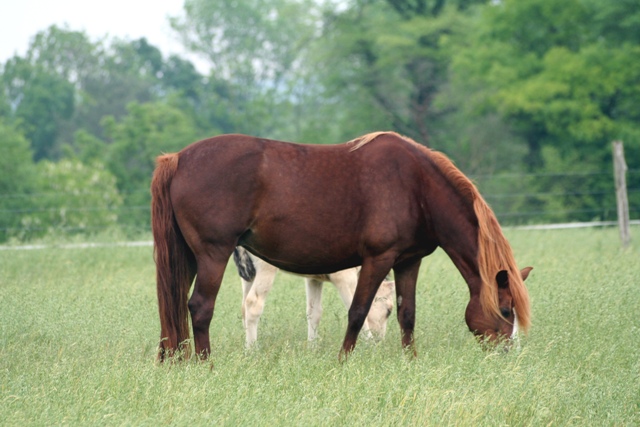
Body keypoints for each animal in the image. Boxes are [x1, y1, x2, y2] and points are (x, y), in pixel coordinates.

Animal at [235, 247, 396, 348]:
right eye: (389, 310)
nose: (380, 339)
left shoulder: (314, 279)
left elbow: (314, 312)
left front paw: (312, 347)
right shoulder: (345, 277)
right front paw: (371, 346)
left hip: (249, 275)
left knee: (243, 306)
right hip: (266, 268)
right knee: (253, 304)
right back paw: (252, 349)